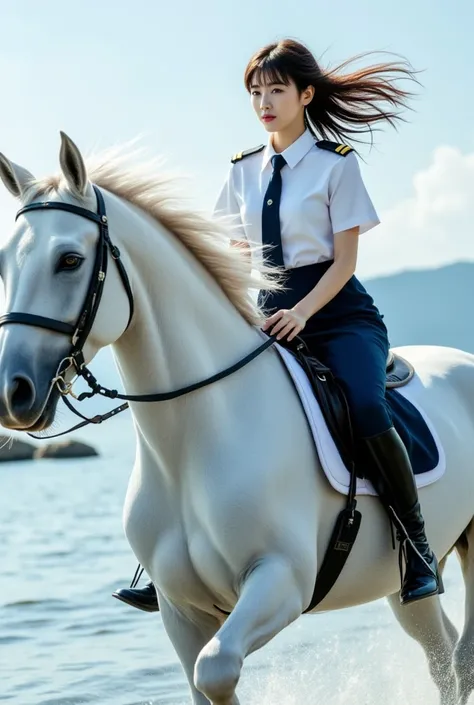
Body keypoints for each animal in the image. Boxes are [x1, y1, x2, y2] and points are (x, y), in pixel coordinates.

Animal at [0, 133, 472, 704]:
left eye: (69, 259)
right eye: (4, 264)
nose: (14, 393)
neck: (194, 444)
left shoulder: (281, 582)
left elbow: (216, 669)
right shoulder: (180, 611)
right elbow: (201, 680)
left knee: (458, 657)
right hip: (401, 584)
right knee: (441, 654)